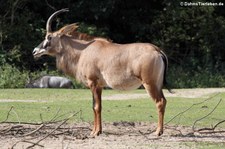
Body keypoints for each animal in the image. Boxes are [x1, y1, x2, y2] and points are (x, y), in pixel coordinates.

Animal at [33, 8, 169, 136]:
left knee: (160, 102)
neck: (83, 51)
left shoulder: (92, 82)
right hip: (157, 84)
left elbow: (95, 106)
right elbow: (98, 107)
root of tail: (157, 50)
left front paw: (95, 132)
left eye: (49, 37)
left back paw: (158, 132)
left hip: (149, 84)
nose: (35, 51)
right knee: (164, 100)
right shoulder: (99, 86)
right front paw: (97, 130)